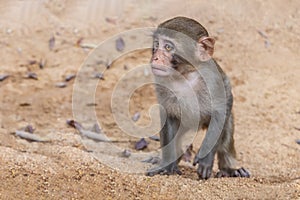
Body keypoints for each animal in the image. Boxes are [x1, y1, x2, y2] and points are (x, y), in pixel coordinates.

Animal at [146, 16, 250, 179]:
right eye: (156, 44)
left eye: (168, 47)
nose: (155, 57)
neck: (185, 75)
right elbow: (169, 114)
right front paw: (167, 165)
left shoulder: (212, 78)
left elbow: (223, 107)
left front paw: (205, 158)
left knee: (226, 128)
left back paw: (230, 168)